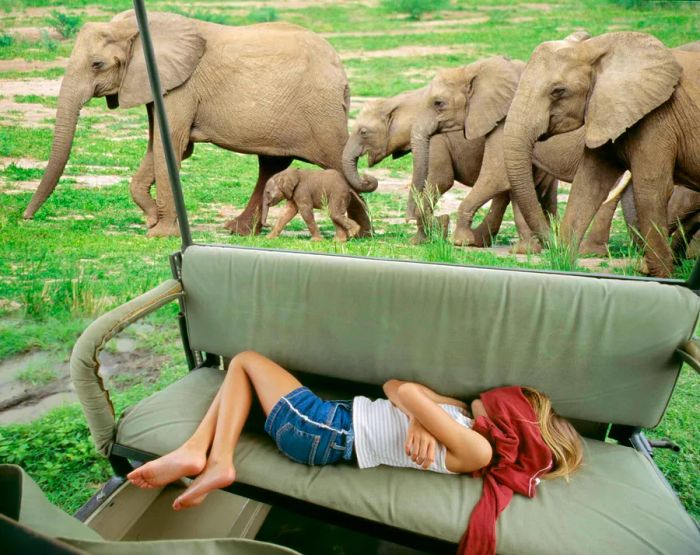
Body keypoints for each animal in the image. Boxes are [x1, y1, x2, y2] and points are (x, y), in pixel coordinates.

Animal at [20, 10, 372, 237]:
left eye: (97, 64)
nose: (25, 217)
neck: (132, 28)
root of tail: (341, 69)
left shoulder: (181, 89)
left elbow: (171, 146)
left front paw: (158, 232)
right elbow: (162, 146)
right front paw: (152, 219)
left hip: (320, 111)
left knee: (337, 161)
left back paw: (360, 235)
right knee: (272, 165)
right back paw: (239, 231)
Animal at [340, 88, 508, 244]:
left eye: (363, 132)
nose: (367, 177)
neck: (399, 101)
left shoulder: (436, 138)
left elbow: (441, 180)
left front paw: (419, 240)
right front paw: (437, 229)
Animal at [504, 31, 700, 276]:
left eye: (558, 91)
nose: (551, 239)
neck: (597, 47)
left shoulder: (658, 120)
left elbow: (651, 191)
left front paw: (661, 276)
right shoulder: (607, 113)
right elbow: (587, 186)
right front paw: (562, 265)